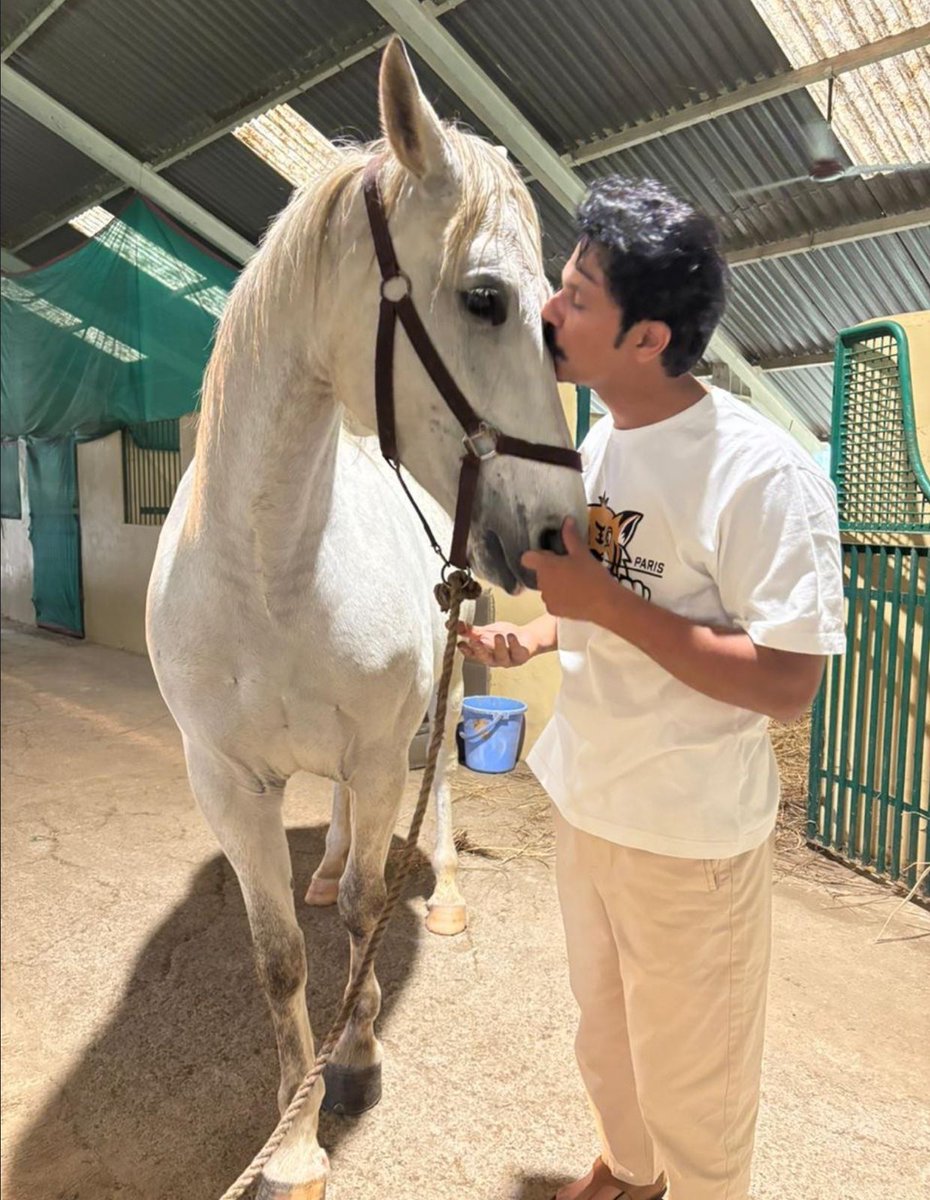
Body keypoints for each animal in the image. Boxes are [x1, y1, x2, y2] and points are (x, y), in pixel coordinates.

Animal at [146, 38, 587, 1199]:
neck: (268, 569)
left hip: (435, 702)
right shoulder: (223, 778)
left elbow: (359, 917)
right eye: (484, 298)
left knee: (416, 816)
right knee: (343, 833)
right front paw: (294, 1139)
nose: (563, 532)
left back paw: (435, 897)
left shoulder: (384, 749)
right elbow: (279, 956)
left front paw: (355, 1052)